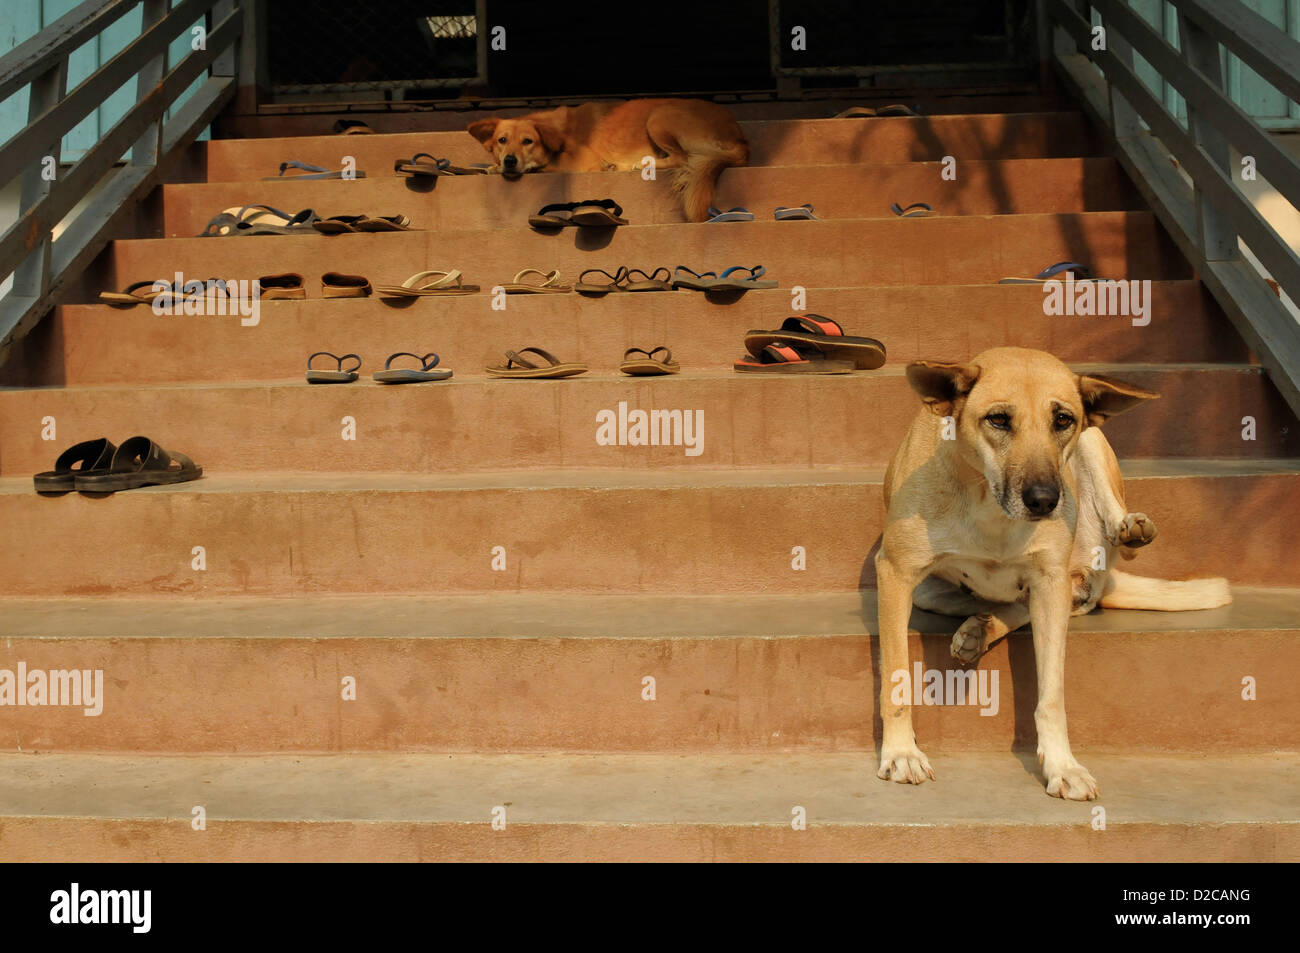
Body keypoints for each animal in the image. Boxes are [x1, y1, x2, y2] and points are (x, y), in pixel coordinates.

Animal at [467, 98, 754, 221]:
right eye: (502, 140)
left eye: (528, 141)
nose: (509, 161)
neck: (560, 133)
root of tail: (742, 140)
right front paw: (492, 166)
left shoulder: (583, 162)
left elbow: (546, 167)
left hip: (659, 115)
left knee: (682, 158)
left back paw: (642, 164)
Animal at [878, 345, 1232, 800]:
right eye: (998, 419)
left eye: (1063, 420)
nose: (1045, 499)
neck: (988, 502)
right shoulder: (895, 574)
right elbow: (897, 676)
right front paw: (901, 753)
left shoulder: (1049, 581)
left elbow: (1051, 694)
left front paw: (1063, 766)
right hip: (931, 591)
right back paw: (979, 629)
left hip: (1093, 450)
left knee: (1084, 573)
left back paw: (1129, 529)